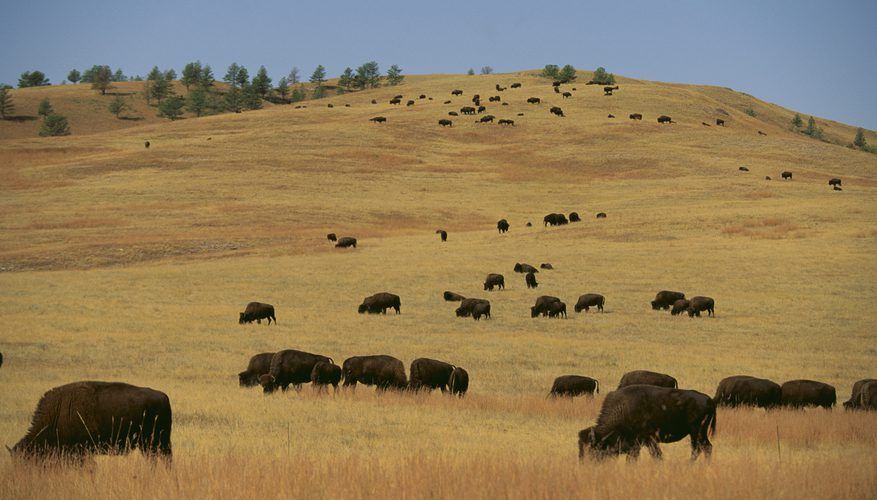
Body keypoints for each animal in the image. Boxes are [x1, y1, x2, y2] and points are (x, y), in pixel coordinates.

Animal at [580, 384, 716, 462]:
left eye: (593, 449)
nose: (588, 464)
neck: (624, 407)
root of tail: (709, 400)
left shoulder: (648, 439)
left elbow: (656, 455)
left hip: (696, 432)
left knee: (698, 449)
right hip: (700, 433)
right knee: (707, 448)